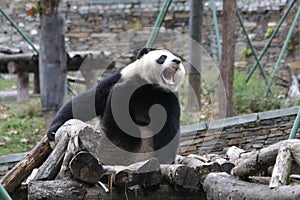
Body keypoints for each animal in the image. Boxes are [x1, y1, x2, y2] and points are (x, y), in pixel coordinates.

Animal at [47, 47, 185, 165]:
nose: (177, 61)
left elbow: (169, 127)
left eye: (176, 57)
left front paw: (165, 160)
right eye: (163, 57)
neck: (150, 85)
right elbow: (87, 102)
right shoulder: (120, 78)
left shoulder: (168, 97)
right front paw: (53, 129)